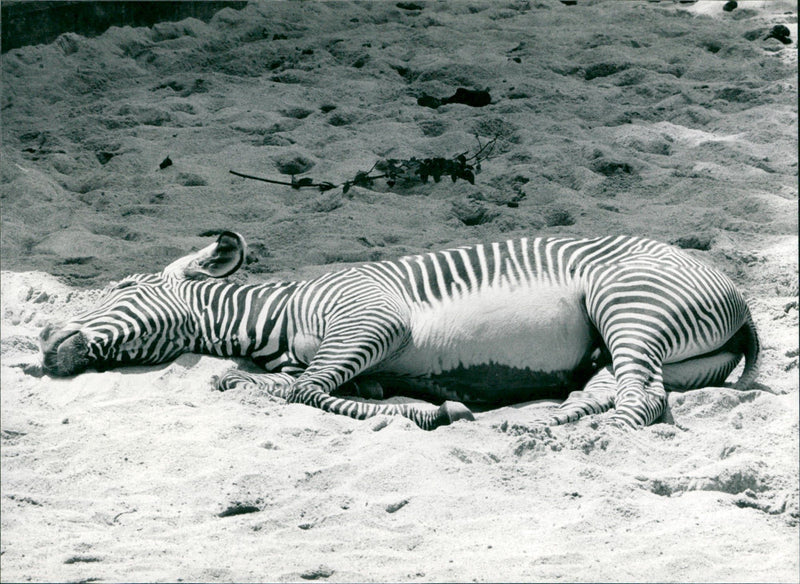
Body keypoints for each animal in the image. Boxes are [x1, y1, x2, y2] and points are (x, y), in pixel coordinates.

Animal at [40, 231, 759, 430]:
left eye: (124, 289)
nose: (43, 343)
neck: (282, 316)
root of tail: (737, 297)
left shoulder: (370, 321)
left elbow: (302, 391)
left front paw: (427, 412)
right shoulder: (361, 357)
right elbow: (312, 387)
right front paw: (417, 405)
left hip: (625, 301)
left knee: (643, 399)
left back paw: (559, 433)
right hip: (619, 346)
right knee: (615, 388)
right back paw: (546, 419)